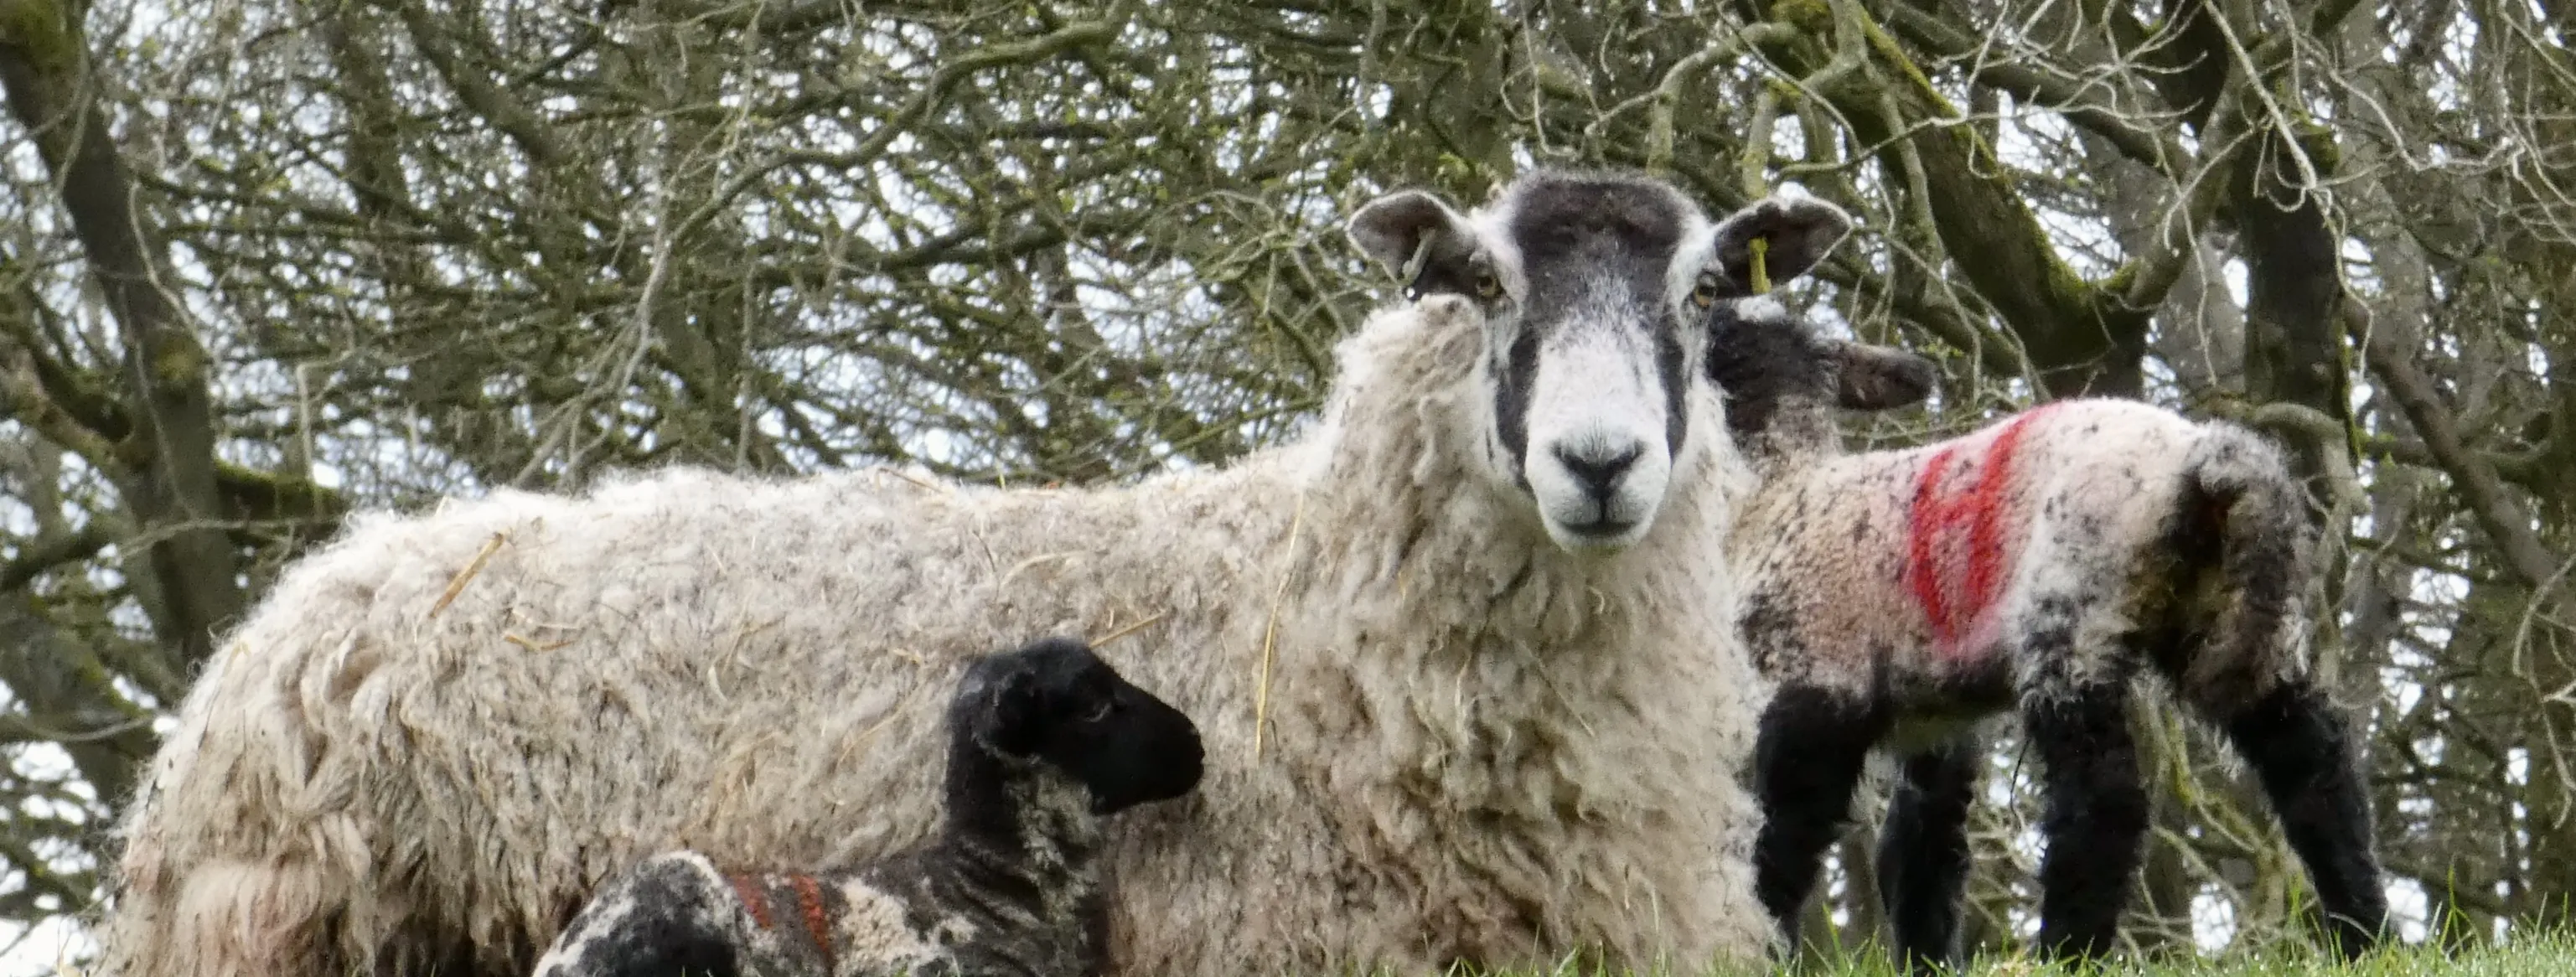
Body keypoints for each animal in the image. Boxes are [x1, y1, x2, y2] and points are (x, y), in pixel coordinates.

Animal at [1702, 296, 2390, 971]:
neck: (1778, 488)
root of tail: (2204, 457)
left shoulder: (1815, 674)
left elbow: (1785, 828)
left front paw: (1758, 944)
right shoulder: (1932, 713)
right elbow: (1923, 846)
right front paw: (1928, 961)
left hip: (2072, 606)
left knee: (2104, 798)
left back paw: (2066, 951)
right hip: (2230, 614)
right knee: (2311, 761)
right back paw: (2365, 936)